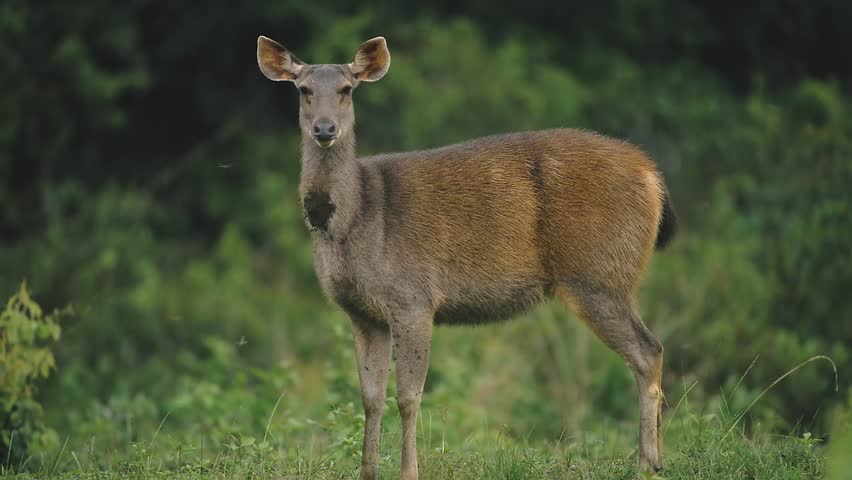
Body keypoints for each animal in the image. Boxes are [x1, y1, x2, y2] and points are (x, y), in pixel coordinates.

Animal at [257, 35, 677, 479]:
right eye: (303, 89)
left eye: (346, 89)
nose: (324, 129)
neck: (358, 218)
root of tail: (652, 175)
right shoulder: (363, 313)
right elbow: (370, 396)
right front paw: (367, 471)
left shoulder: (414, 298)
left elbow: (408, 396)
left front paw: (409, 471)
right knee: (651, 350)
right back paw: (656, 458)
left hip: (599, 275)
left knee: (647, 350)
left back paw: (646, 462)